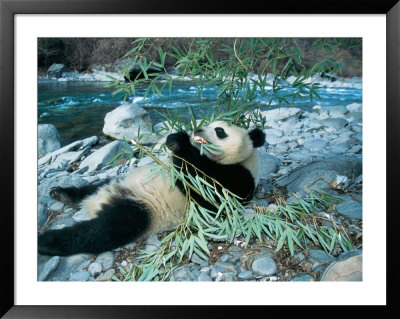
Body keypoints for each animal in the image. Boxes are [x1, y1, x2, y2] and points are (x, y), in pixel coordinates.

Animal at [38, 120, 266, 258]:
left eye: (220, 131)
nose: (197, 130)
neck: (245, 159)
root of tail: (98, 203)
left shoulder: (238, 181)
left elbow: (203, 185)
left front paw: (180, 143)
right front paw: (174, 139)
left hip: (141, 210)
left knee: (102, 231)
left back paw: (46, 241)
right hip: (117, 182)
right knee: (91, 188)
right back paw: (63, 193)